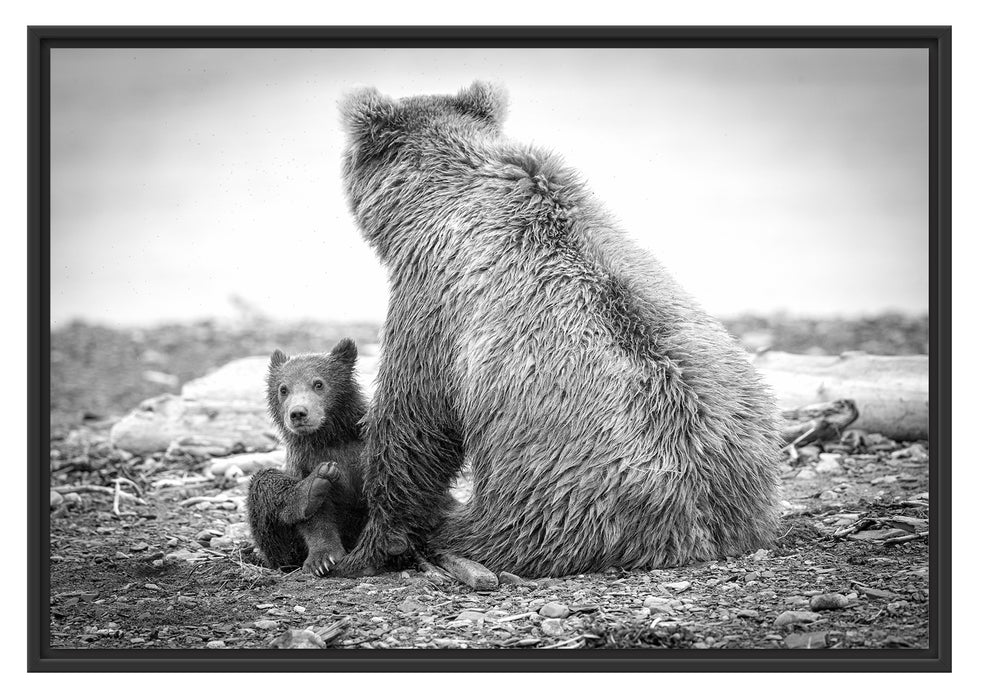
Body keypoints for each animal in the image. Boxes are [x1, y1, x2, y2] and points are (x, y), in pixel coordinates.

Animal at [334, 80, 780, 580]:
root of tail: (698, 525)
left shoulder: (434, 298)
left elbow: (413, 420)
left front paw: (370, 546)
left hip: (556, 497)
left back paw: (448, 537)